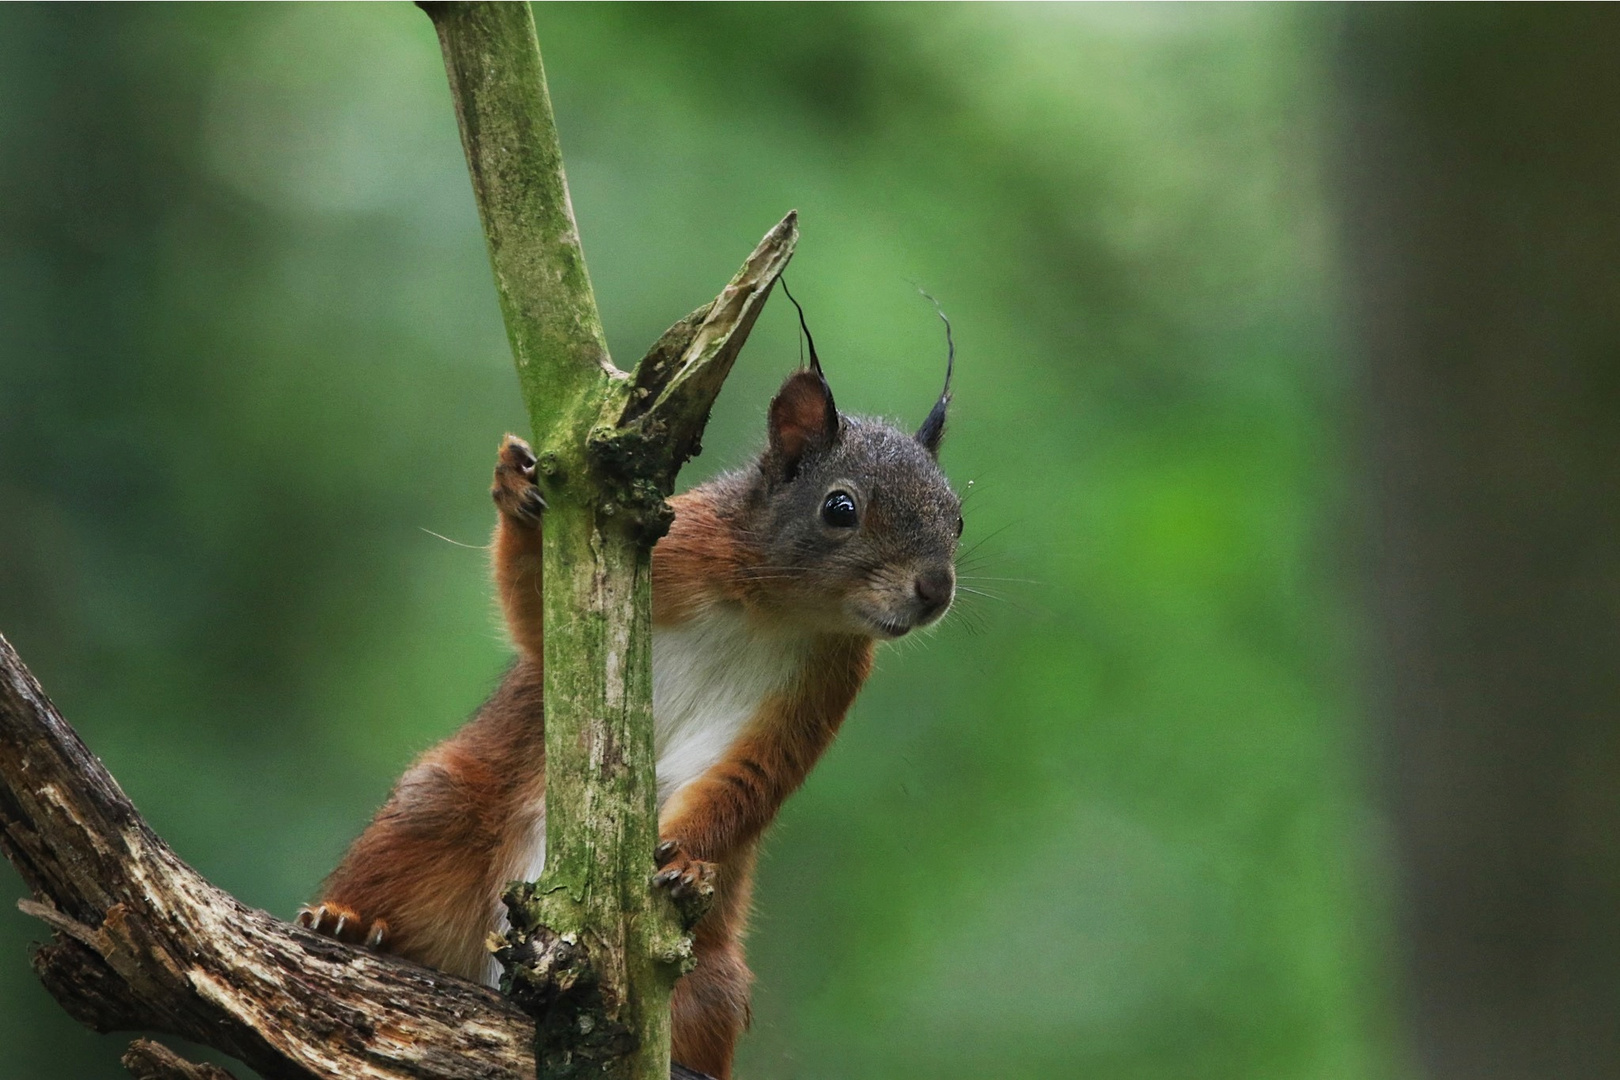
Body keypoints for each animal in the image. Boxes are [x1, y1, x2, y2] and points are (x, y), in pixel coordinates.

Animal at [301, 341, 959, 1075]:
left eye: (958, 515)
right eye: (840, 508)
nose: (936, 590)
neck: (775, 608)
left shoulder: (821, 689)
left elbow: (749, 781)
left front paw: (686, 861)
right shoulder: (662, 548)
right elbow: (537, 623)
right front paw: (518, 492)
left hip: (710, 983)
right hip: (434, 814)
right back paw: (349, 922)